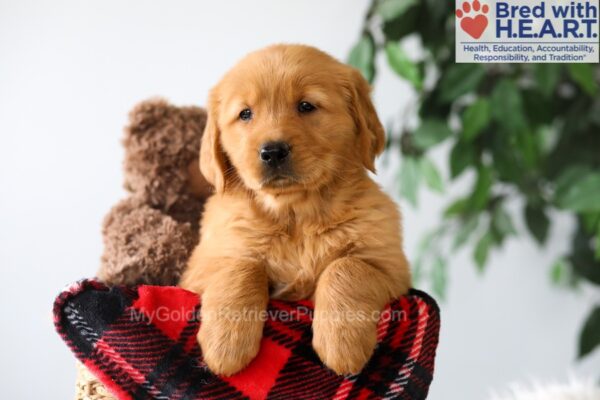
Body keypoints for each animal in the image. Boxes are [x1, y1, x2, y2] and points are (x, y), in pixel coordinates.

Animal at [180, 45, 410, 376]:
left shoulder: (391, 267)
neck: (295, 215)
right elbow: (242, 266)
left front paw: (342, 345)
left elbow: (347, 267)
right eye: (245, 114)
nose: (273, 151)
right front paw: (226, 344)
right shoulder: (201, 265)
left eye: (306, 106)